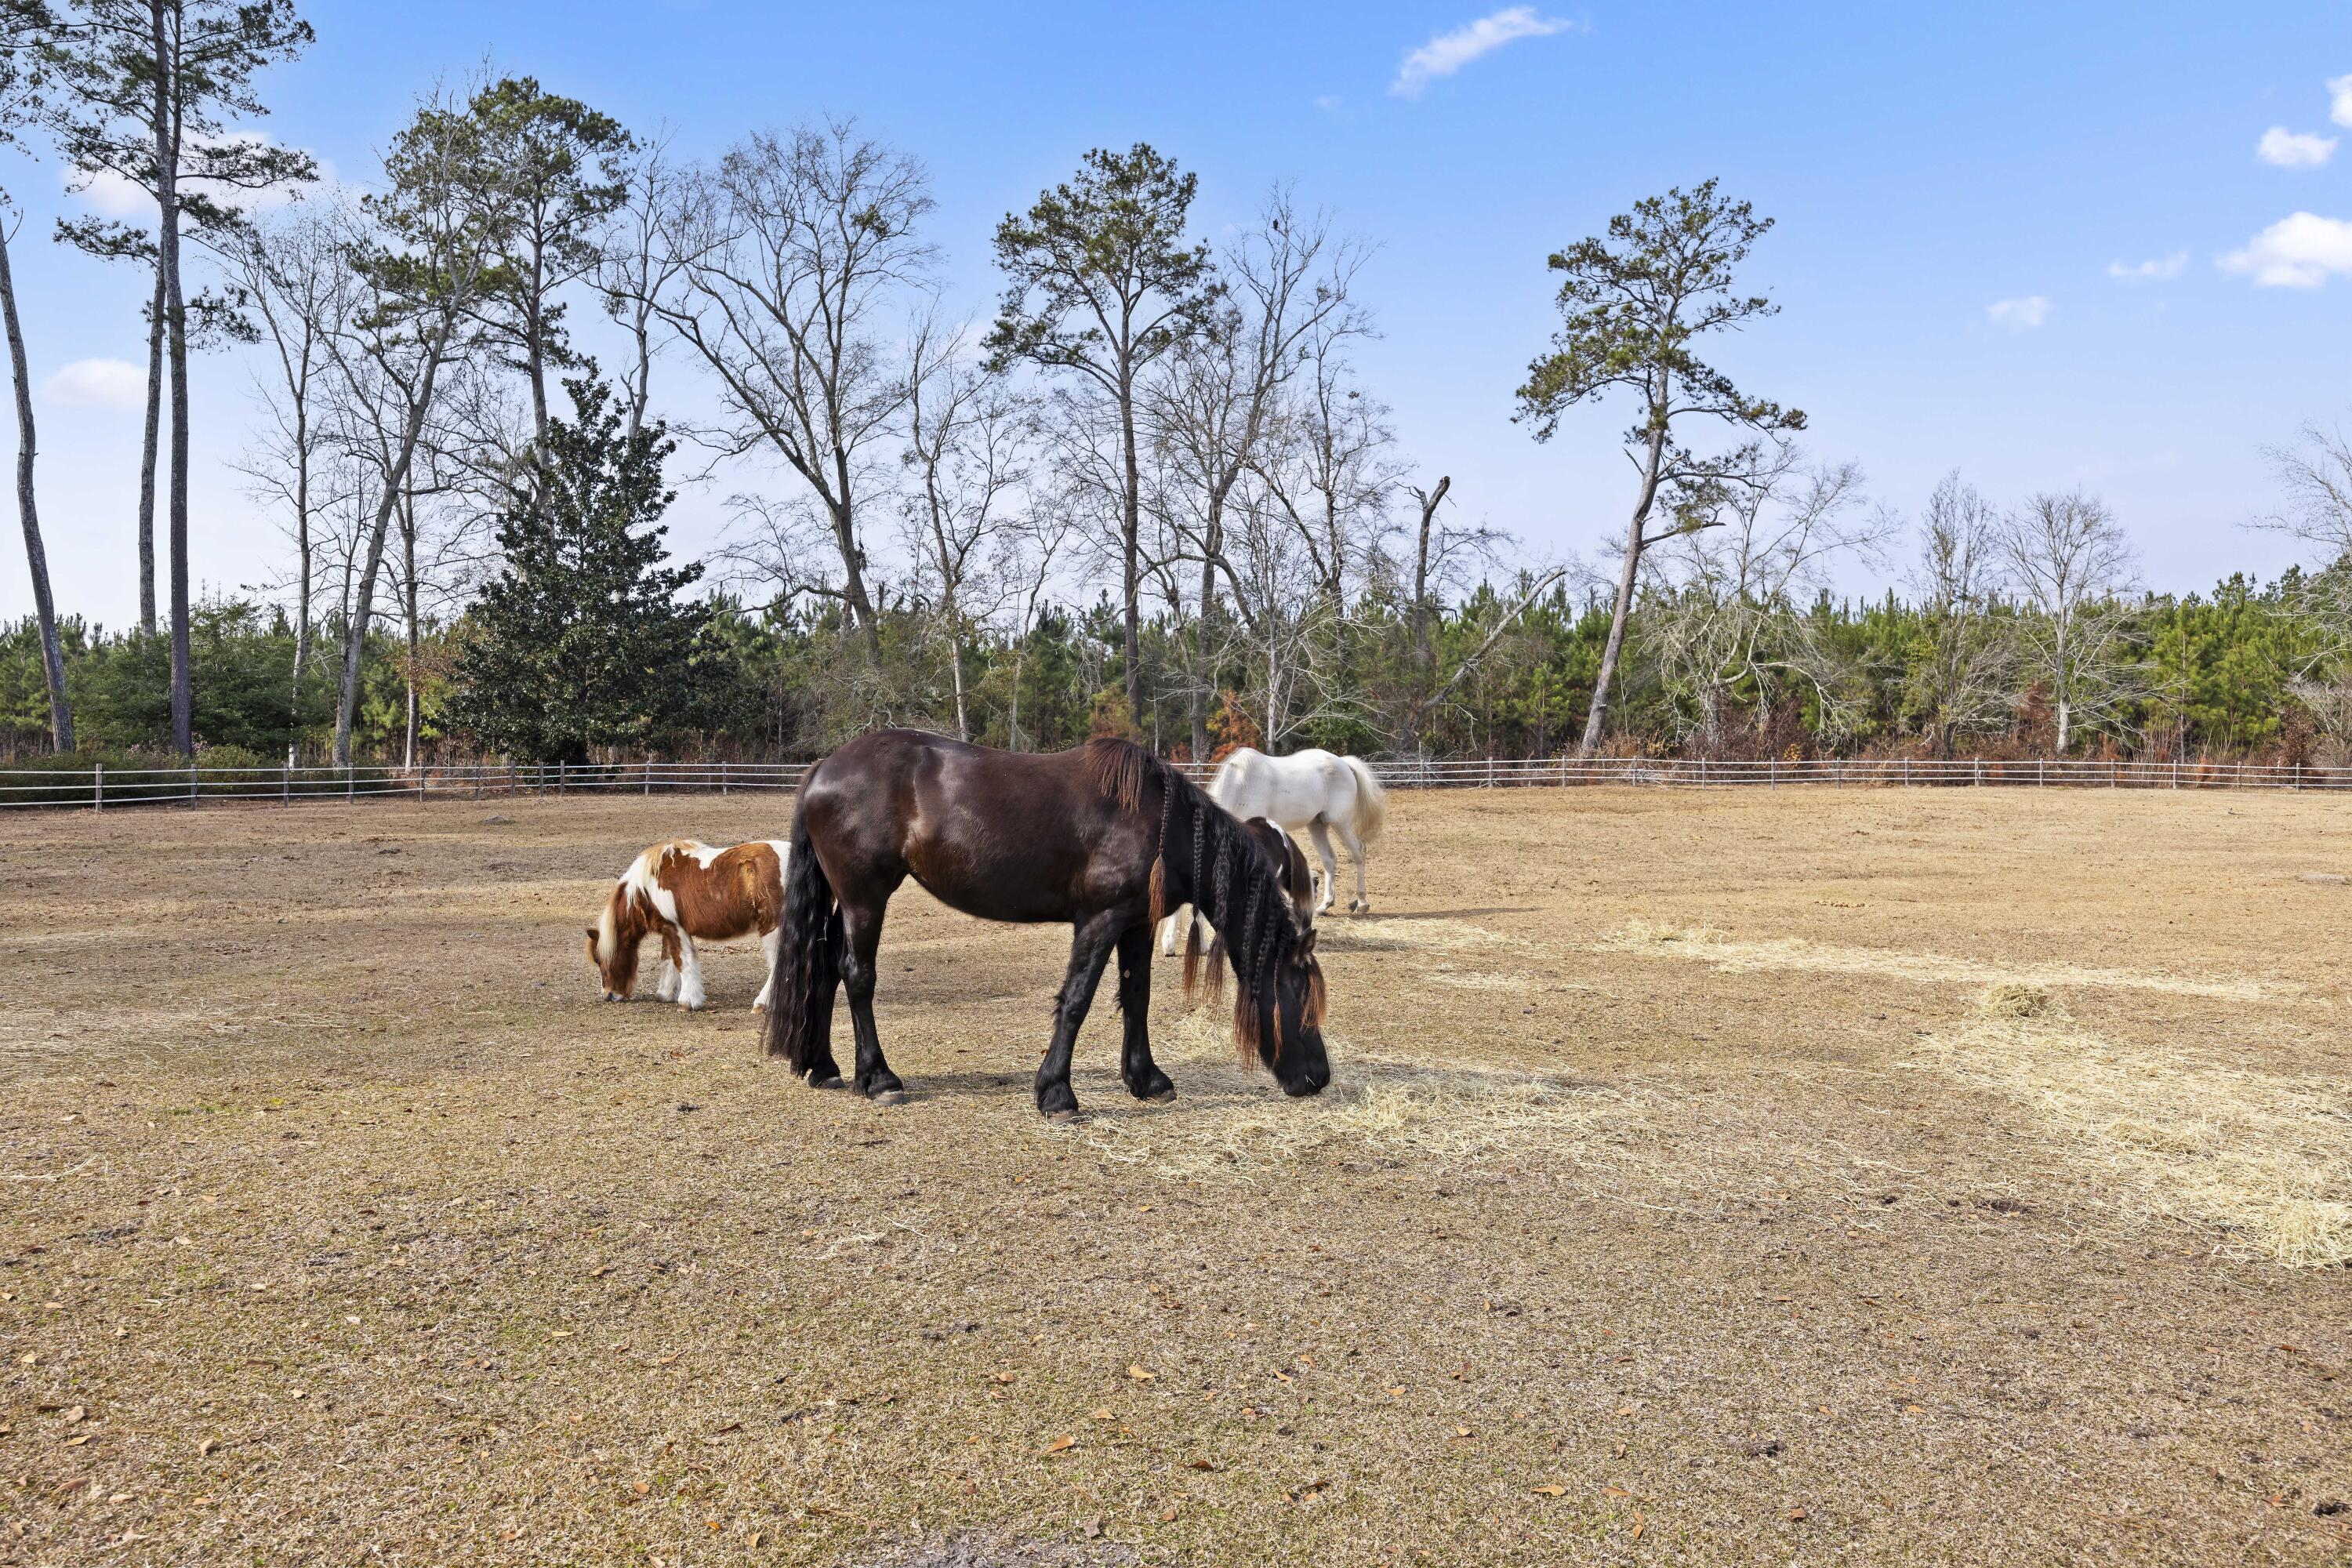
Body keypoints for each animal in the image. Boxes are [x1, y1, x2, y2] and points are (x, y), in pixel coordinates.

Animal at [587, 839, 790, 1011]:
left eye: (598, 959)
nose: (608, 995)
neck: (645, 890)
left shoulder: (676, 927)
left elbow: (682, 961)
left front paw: (687, 1002)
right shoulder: (667, 928)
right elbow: (668, 960)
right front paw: (666, 993)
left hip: (772, 928)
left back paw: (761, 1004)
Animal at [763, 730, 1331, 1119]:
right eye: (1301, 996)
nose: (1319, 1077)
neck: (1158, 822)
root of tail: (823, 767)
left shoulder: (1136, 925)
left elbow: (1137, 997)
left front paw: (1147, 1080)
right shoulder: (1100, 920)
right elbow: (1077, 999)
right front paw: (1057, 1092)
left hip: (846, 901)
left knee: (823, 967)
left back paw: (824, 1068)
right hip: (865, 899)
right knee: (857, 975)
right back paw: (878, 1078)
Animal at [1158, 747, 1387, 954]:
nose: (1168, 947)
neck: (1240, 786)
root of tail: (1344, 763)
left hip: (1341, 823)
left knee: (1359, 852)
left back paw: (1362, 902)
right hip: (1317, 824)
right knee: (1329, 860)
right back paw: (1325, 905)